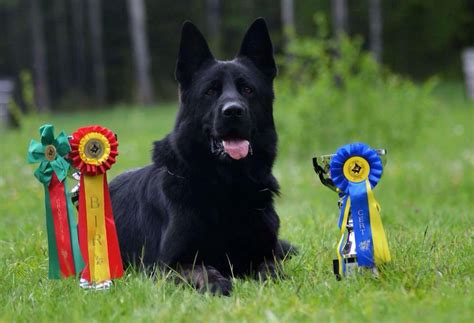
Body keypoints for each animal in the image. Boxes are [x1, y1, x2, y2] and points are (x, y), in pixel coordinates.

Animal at [111, 17, 296, 296]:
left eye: (247, 89)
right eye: (210, 91)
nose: (233, 111)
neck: (228, 185)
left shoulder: (266, 253)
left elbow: (272, 269)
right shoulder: (166, 267)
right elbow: (200, 269)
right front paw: (217, 282)